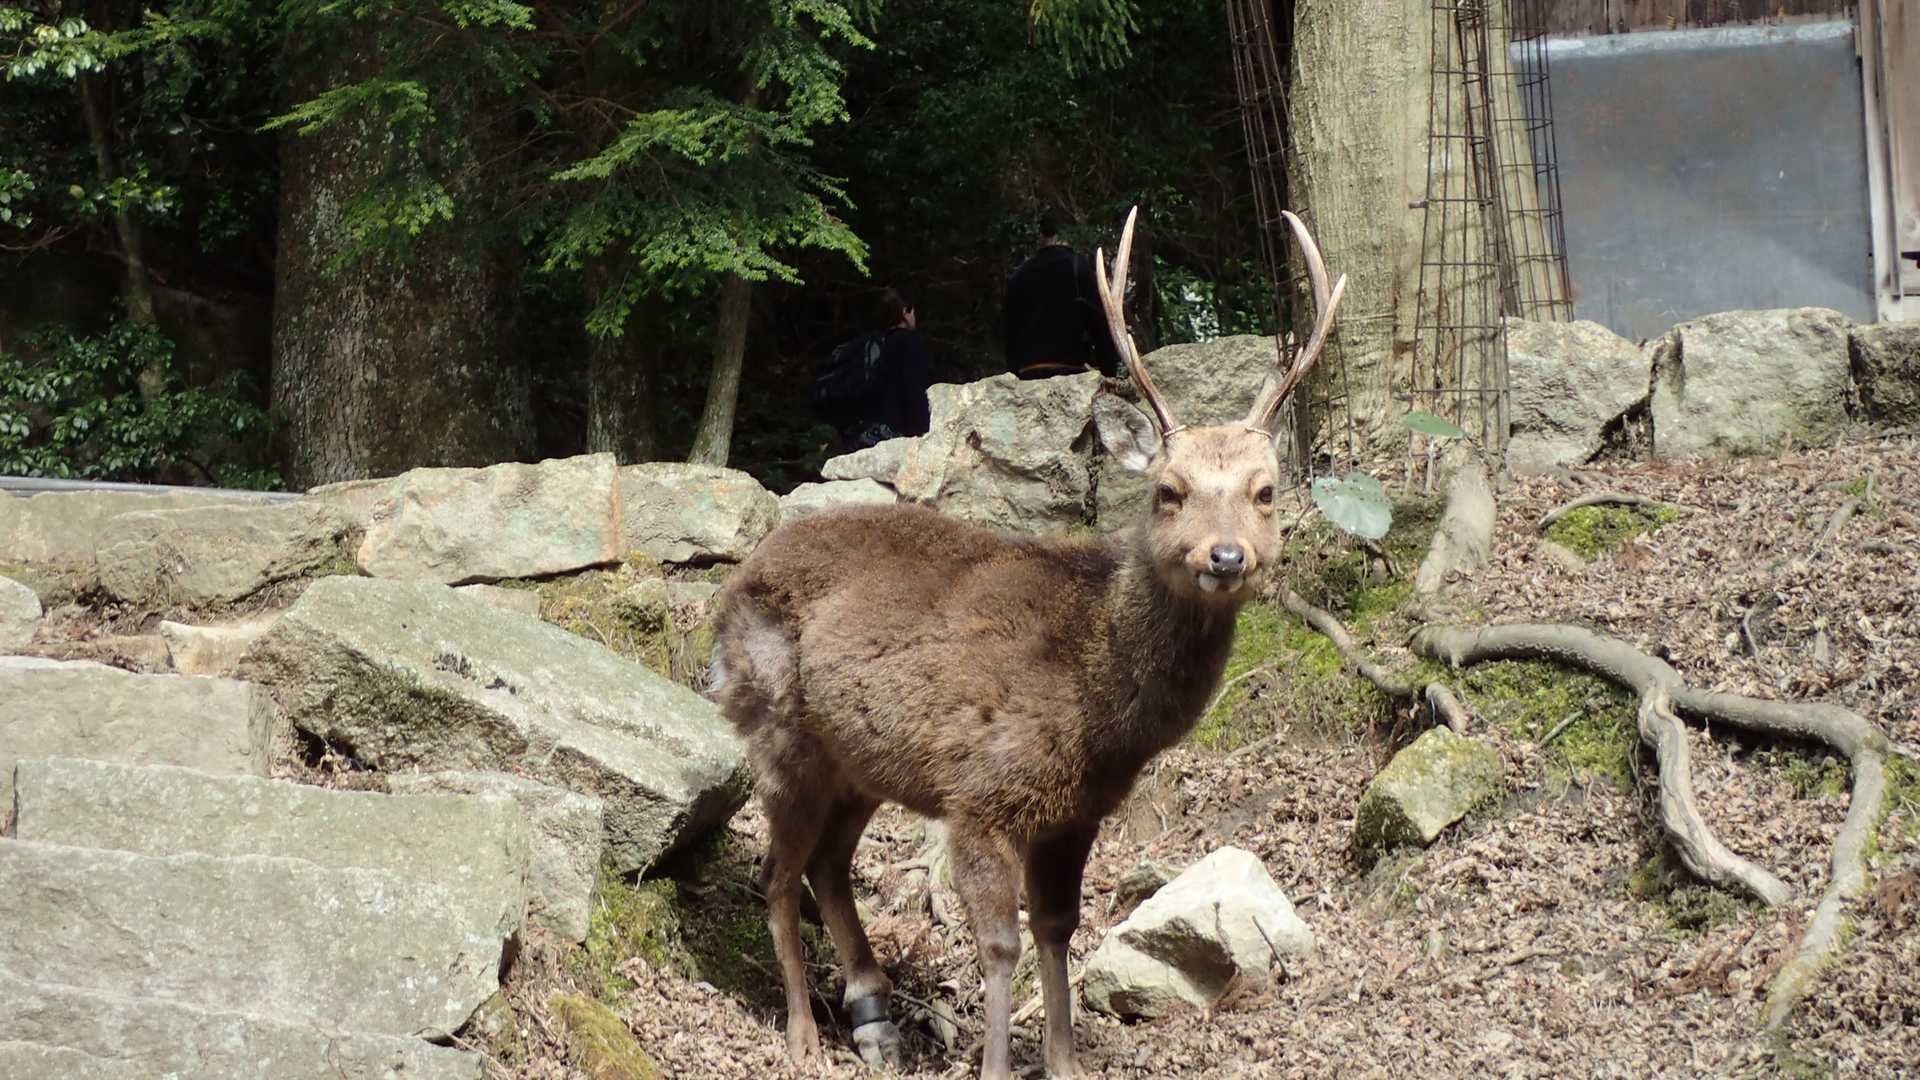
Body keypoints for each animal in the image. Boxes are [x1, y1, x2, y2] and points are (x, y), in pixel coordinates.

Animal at [709, 206, 1346, 1079]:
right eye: (1168, 491)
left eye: (1266, 492)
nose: (1224, 557)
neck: (1095, 710)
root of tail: (728, 597)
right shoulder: (979, 792)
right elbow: (1000, 945)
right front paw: (997, 1063)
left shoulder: (1075, 815)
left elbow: (1057, 929)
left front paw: (1067, 1061)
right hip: (780, 731)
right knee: (778, 872)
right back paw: (805, 1036)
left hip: (858, 763)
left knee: (829, 867)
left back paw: (873, 1016)